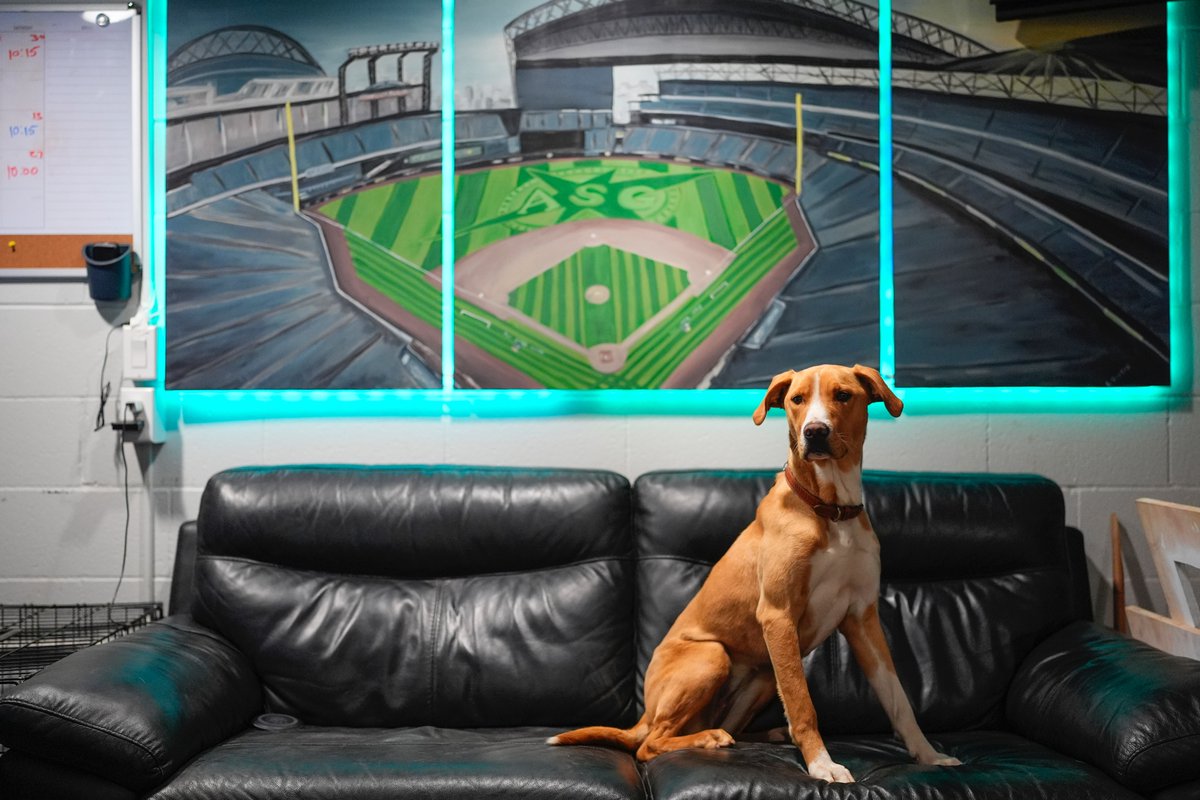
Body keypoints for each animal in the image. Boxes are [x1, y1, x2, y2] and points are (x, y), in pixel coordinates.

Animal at [549, 362, 960, 782]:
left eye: (843, 395)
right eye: (796, 399)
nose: (815, 431)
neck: (830, 509)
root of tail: (644, 714)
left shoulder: (863, 618)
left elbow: (898, 699)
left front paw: (929, 755)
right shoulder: (778, 615)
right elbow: (802, 703)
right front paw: (822, 764)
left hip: (763, 675)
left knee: (729, 725)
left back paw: (766, 733)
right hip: (713, 656)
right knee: (652, 744)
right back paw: (711, 738)